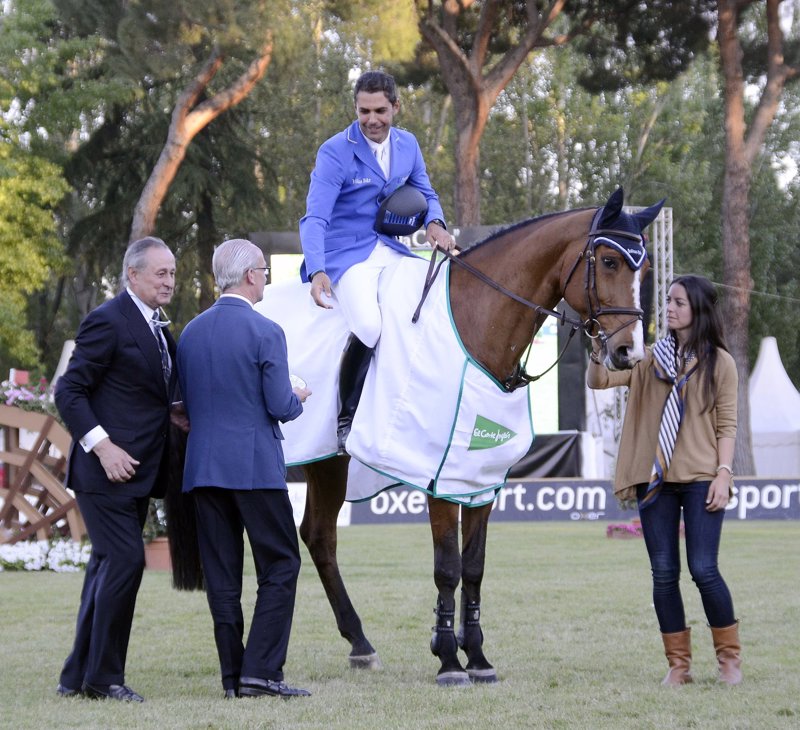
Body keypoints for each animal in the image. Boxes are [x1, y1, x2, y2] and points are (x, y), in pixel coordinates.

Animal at [294, 188, 664, 685]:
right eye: (608, 261)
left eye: (645, 268)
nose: (630, 353)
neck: (475, 326)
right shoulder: (437, 477)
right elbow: (447, 567)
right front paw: (449, 660)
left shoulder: (479, 480)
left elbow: (473, 567)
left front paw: (478, 657)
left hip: (327, 464)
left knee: (319, 536)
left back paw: (360, 643)